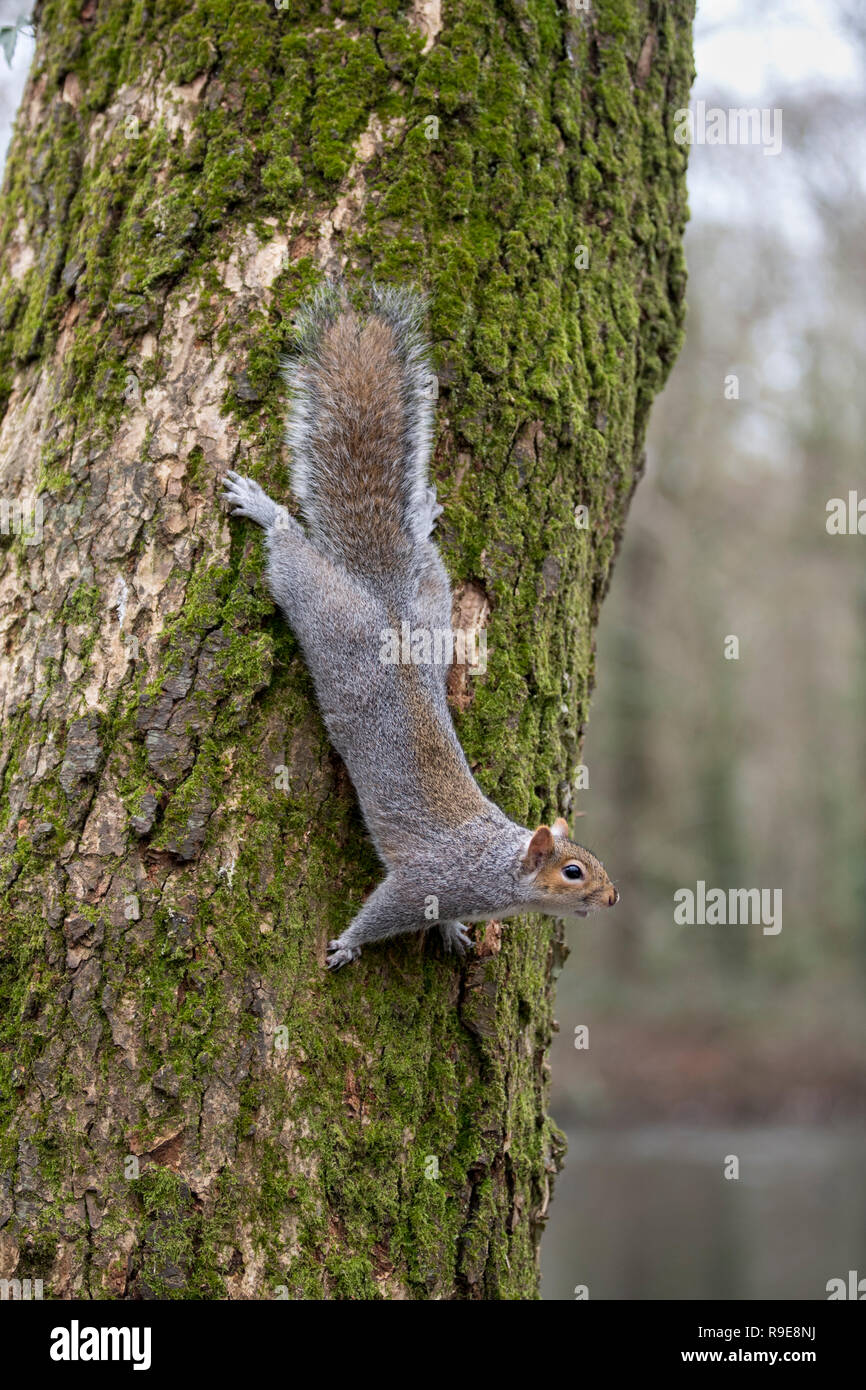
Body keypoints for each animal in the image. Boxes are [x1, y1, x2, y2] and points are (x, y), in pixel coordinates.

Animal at [221, 283, 619, 969]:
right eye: (572, 871)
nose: (615, 896)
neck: (495, 867)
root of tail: (381, 591)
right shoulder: (425, 883)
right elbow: (384, 911)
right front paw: (348, 946)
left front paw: (454, 933)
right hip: (323, 604)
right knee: (292, 553)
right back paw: (264, 508)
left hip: (434, 596)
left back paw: (423, 517)